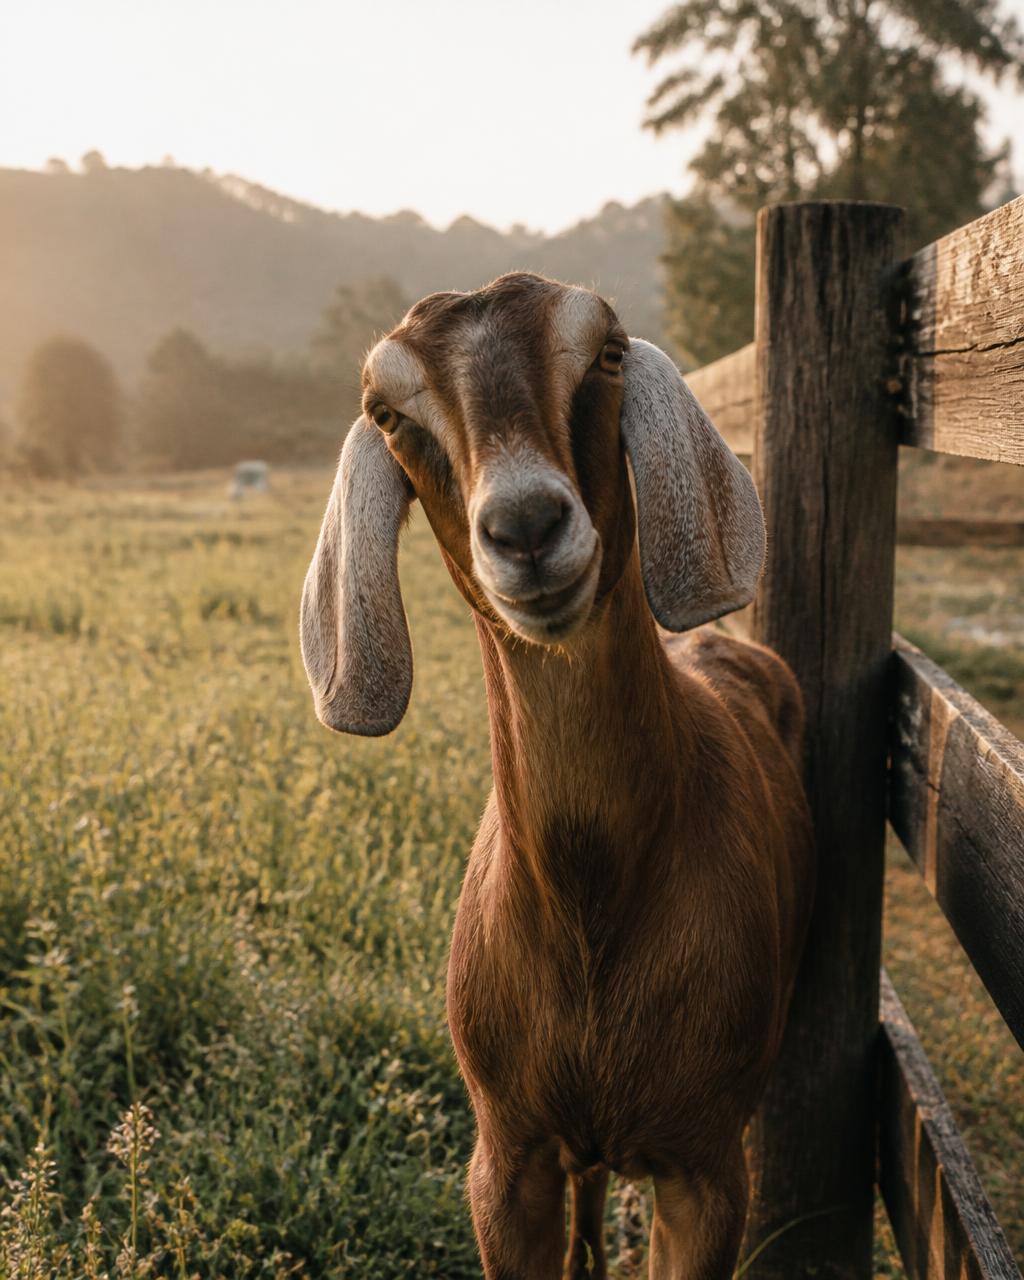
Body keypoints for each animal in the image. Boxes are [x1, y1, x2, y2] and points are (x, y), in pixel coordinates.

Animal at [300, 273, 814, 1279]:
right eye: (387, 412)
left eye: (607, 353)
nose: (527, 527)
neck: (590, 906)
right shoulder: (507, 1158)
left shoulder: (703, 1171)